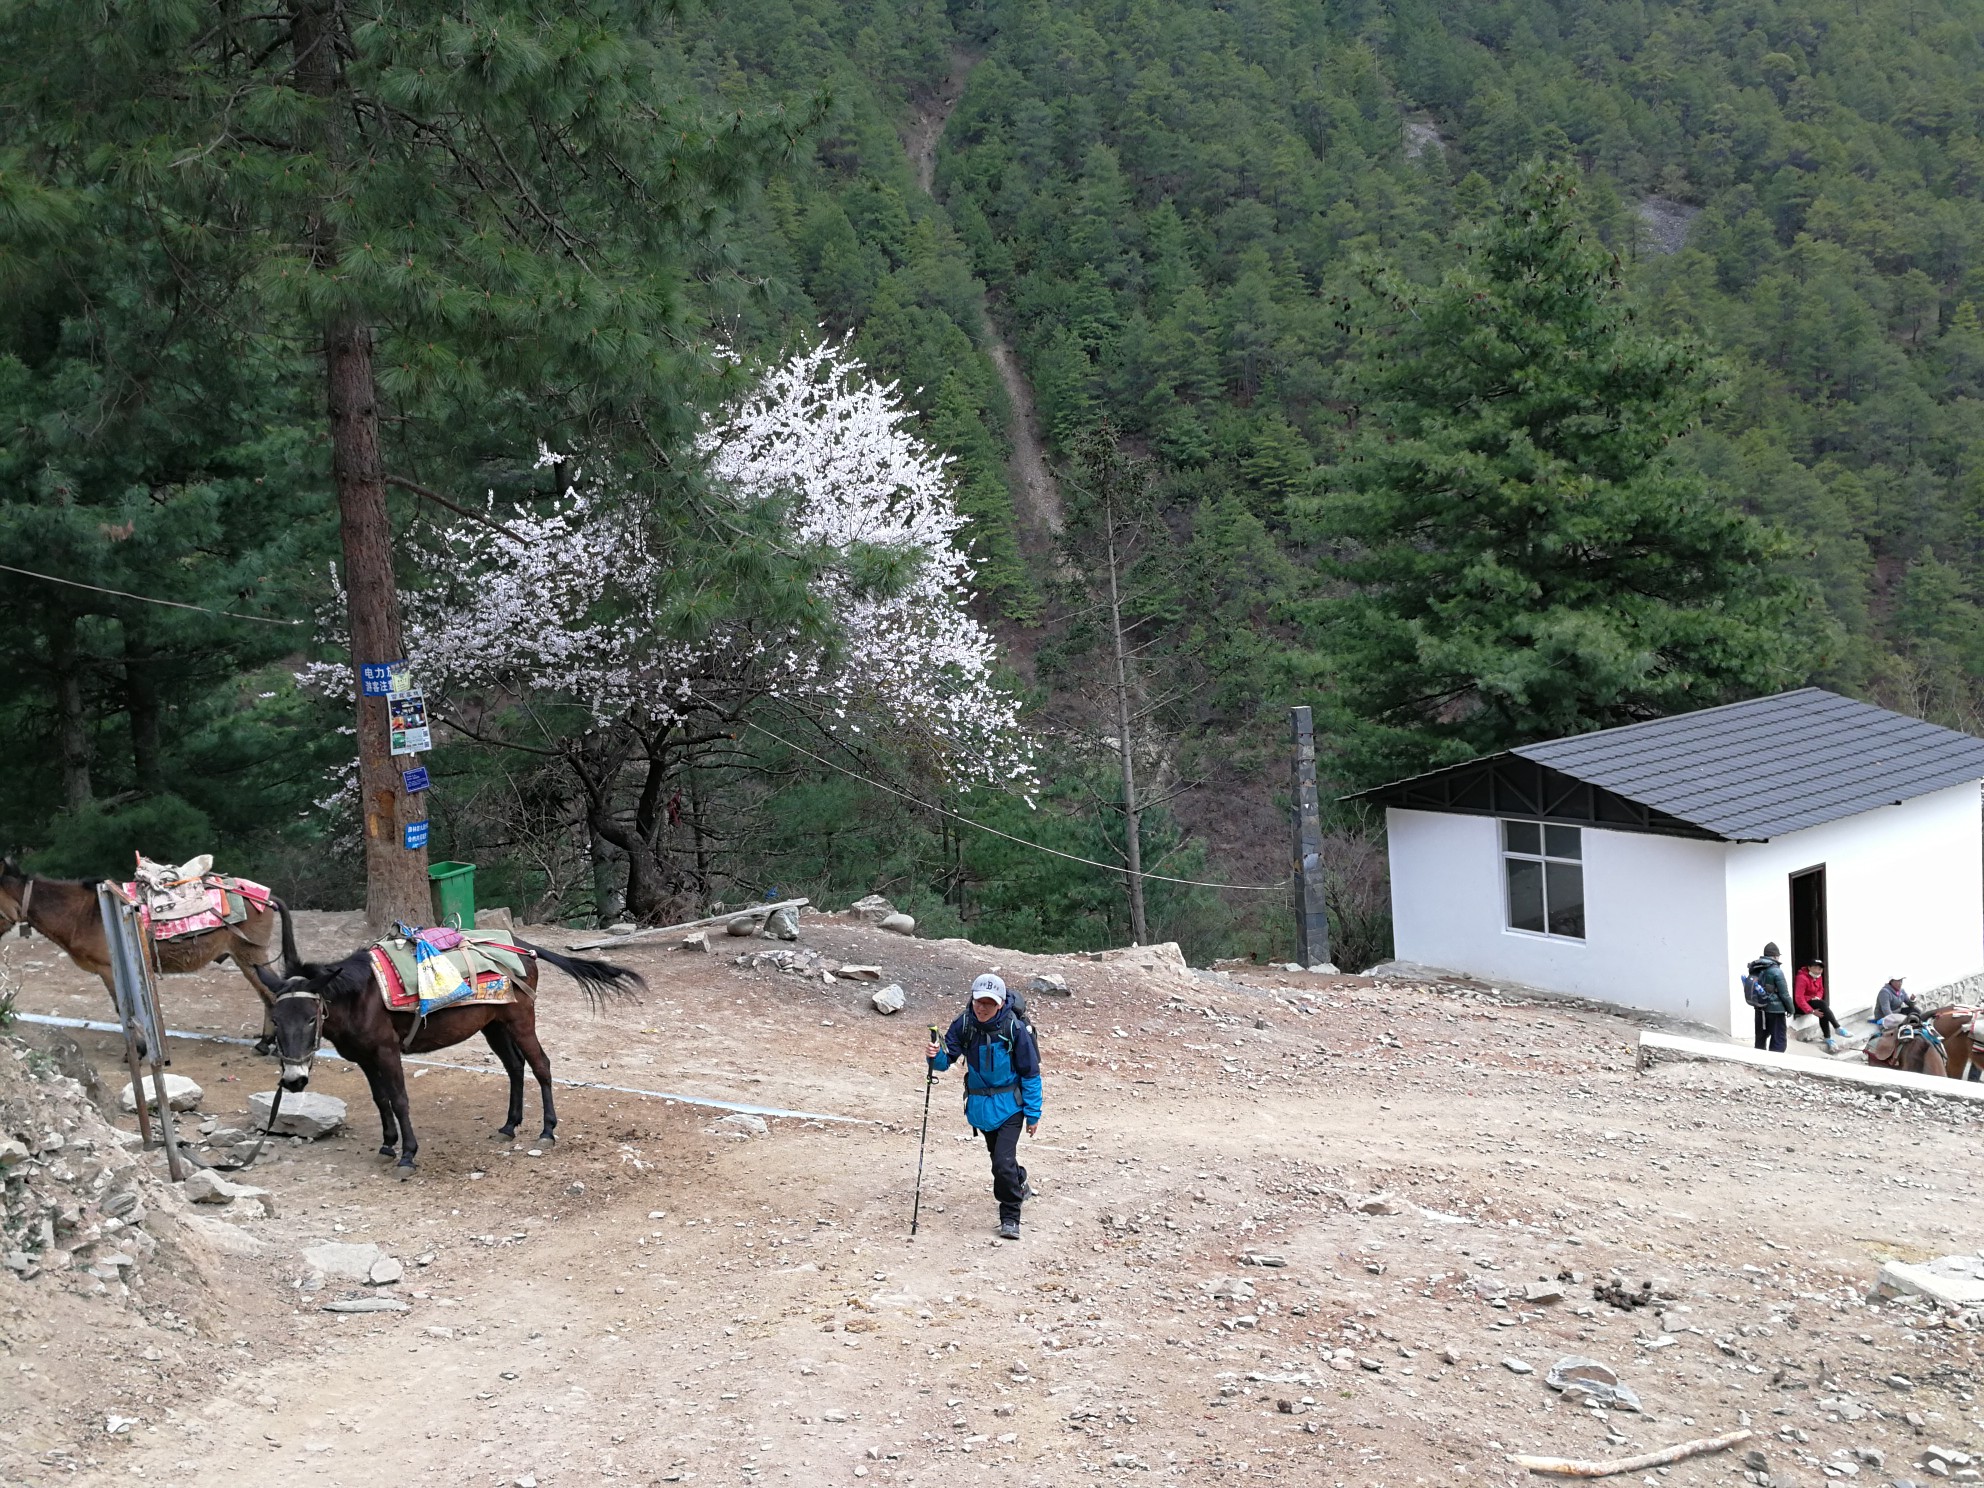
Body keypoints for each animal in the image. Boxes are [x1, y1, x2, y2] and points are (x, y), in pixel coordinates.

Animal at [0, 857, 301, 1055]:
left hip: (249, 954)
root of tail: (266, 897)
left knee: (271, 995)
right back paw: (264, 1043)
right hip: (246, 956)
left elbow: (123, 1008)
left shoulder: (109, 968)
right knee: (267, 995)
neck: (83, 914)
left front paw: (138, 1050)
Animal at [267, 936, 642, 1174]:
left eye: (311, 1018)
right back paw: (509, 1125)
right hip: (493, 1024)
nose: (294, 1081)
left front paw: (408, 1155)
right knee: (515, 1066)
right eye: (275, 1019)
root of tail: (522, 946)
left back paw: (547, 1130)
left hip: (520, 1020)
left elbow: (399, 1099)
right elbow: (380, 1099)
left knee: (541, 1066)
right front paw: (388, 1145)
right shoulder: (364, 1057)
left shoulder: (386, 1051)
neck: (362, 996)